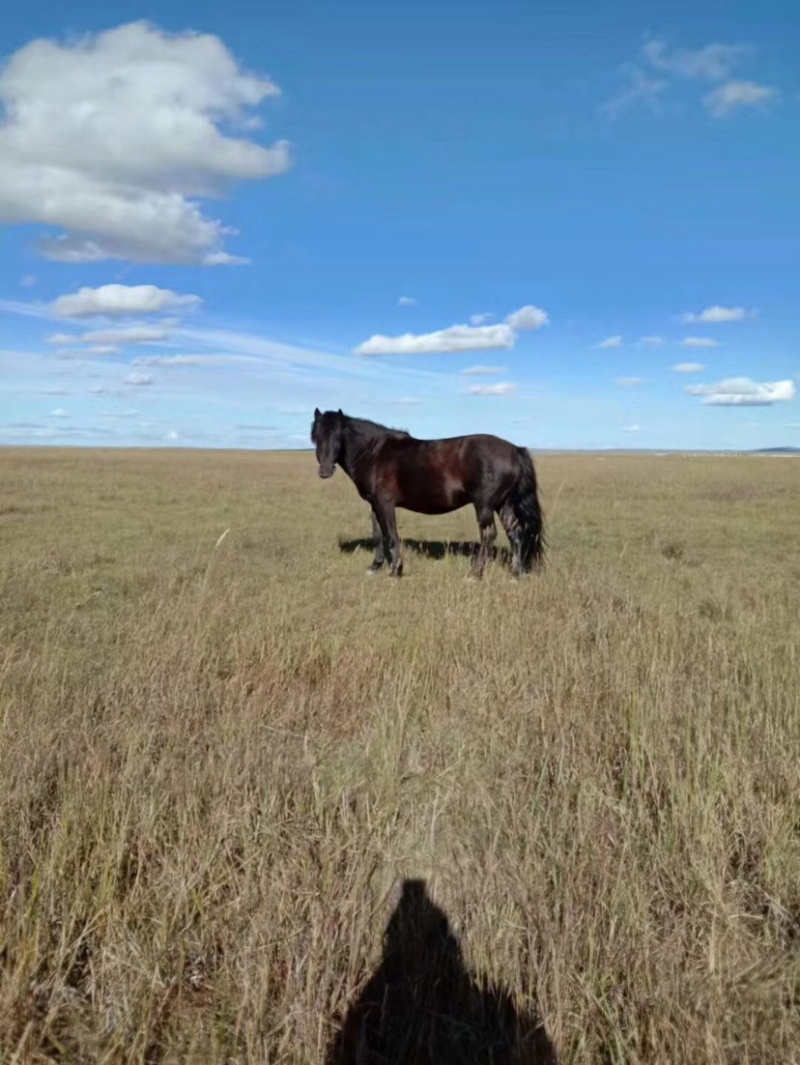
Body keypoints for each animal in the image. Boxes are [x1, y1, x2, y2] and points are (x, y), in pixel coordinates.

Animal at [310, 408, 545, 578]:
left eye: (339, 436)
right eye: (316, 437)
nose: (325, 470)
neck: (374, 453)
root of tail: (515, 450)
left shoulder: (385, 504)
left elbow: (391, 535)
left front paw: (396, 570)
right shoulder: (375, 504)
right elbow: (378, 535)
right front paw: (374, 567)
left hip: (485, 505)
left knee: (489, 535)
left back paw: (475, 574)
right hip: (504, 503)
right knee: (515, 532)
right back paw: (517, 572)